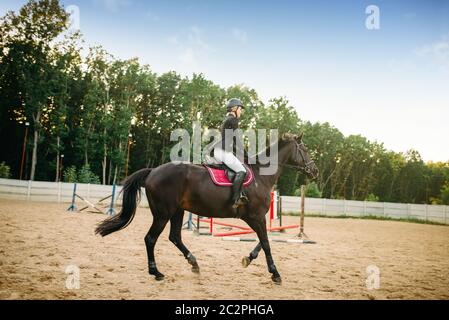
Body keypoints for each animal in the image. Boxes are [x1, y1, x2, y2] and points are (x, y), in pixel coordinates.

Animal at [95, 134, 318, 284]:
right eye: (305, 150)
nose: (315, 171)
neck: (261, 176)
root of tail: (153, 171)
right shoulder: (256, 217)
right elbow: (266, 243)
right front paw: (275, 274)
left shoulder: (256, 218)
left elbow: (264, 242)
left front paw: (248, 259)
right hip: (162, 214)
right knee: (150, 239)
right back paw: (156, 272)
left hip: (177, 211)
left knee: (175, 237)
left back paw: (194, 264)